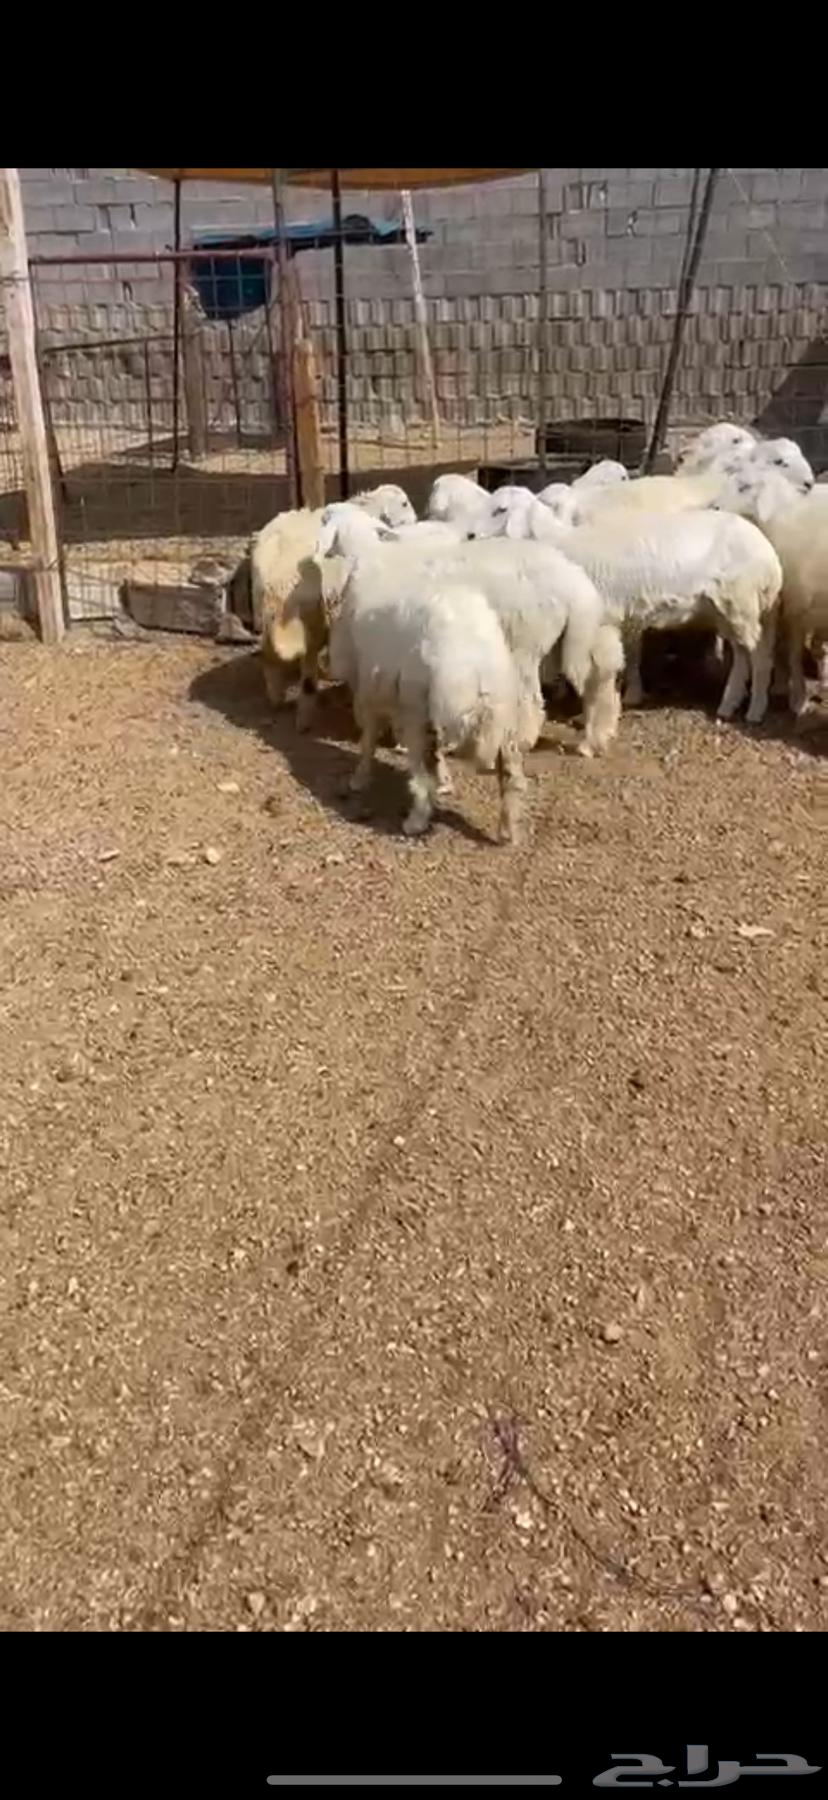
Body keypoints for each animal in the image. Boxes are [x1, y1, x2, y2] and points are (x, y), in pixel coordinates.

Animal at [254, 484, 416, 728]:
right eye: (404, 503)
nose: (416, 520)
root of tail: (277, 580)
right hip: (311, 620)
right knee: (307, 676)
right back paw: (305, 717)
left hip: (265, 612)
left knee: (269, 657)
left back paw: (276, 698)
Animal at [315, 508, 528, 841]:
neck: (371, 555)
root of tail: (474, 665)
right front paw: (447, 782)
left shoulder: (367, 684)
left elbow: (368, 737)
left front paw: (359, 778)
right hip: (502, 714)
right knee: (511, 775)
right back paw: (507, 830)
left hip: (416, 705)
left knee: (421, 772)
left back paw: (416, 819)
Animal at [317, 501, 624, 763]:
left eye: (324, 518)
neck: (372, 555)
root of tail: (573, 584)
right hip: (590, 631)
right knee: (601, 678)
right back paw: (595, 739)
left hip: (524, 644)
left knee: (532, 701)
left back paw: (522, 741)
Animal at [478, 486, 782, 725]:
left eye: (500, 510)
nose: (471, 536)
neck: (561, 541)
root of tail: (770, 556)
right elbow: (628, 654)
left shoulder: (601, 616)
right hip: (728, 608)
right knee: (742, 653)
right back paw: (729, 704)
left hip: (743, 600)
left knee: (759, 656)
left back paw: (755, 710)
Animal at [713, 467, 828, 714]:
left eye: (745, 486)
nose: (714, 507)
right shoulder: (793, 607)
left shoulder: (795, 607)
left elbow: (793, 652)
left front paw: (798, 698)